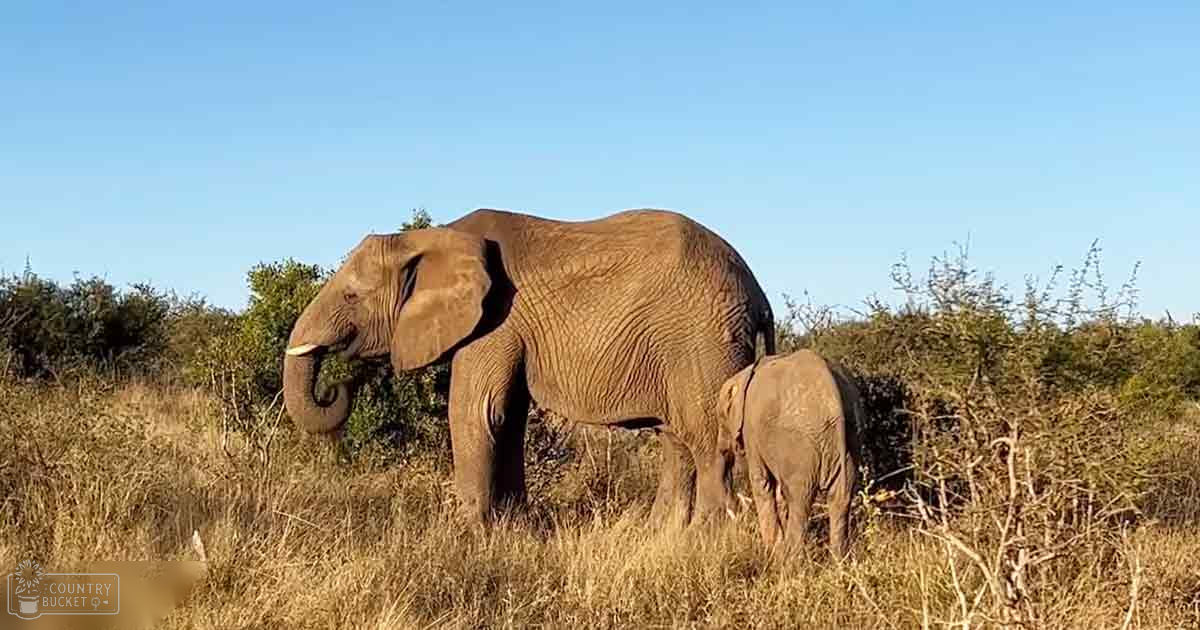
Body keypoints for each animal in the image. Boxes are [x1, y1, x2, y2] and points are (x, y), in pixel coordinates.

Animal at [283, 208, 774, 526]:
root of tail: (758, 293)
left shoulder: (494, 320)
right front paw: (515, 527)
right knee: (678, 439)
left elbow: (476, 414)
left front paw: (469, 535)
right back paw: (662, 535)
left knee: (706, 440)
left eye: (351, 296)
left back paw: (706, 537)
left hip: (701, 338)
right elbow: (508, 418)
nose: (340, 385)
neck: (434, 238)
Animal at [718, 349, 862, 557]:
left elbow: (762, 482)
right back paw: (840, 560)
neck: (743, 375)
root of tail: (833, 395)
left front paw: (772, 550)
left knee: (800, 500)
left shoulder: (751, 430)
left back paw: (790, 561)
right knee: (840, 498)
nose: (722, 449)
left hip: (800, 445)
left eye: (720, 418)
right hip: (852, 439)